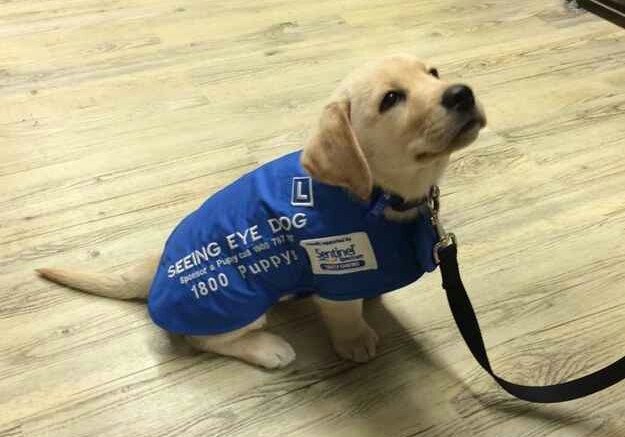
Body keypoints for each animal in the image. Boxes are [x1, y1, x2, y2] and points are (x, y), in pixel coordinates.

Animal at [37, 53, 488, 368]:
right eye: (391, 99)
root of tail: (153, 274)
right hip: (237, 302)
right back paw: (269, 350)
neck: (375, 194)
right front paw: (356, 339)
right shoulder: (334, 274)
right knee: (202, 339)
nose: (462, 92)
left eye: (433, 73)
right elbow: (344, 314)